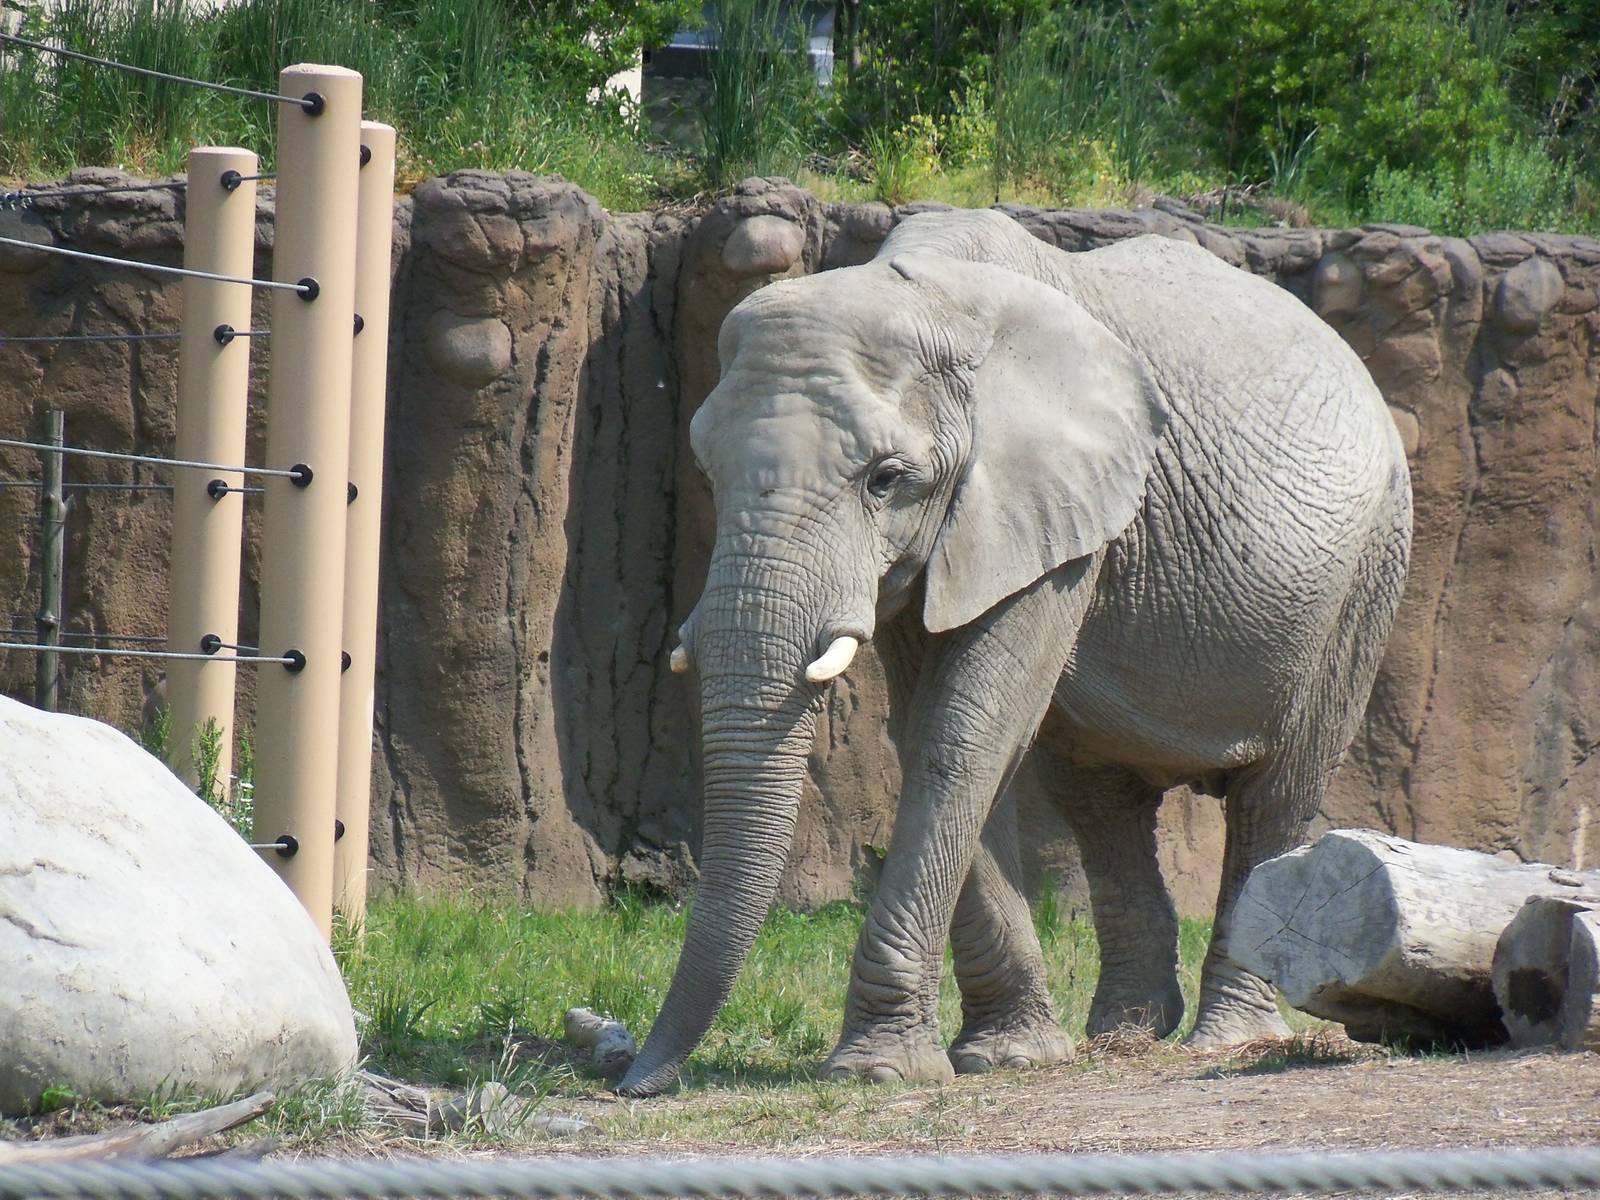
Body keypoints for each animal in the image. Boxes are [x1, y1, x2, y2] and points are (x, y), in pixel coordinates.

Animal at [616, 207, 1412, 1098]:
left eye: (886, 478)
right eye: (707, 471)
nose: (635, 1079)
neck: (931, 295)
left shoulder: (1050, 518)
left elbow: (966, 731)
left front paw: (879, 1070)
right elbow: (935, 728)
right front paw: (1008, 1057)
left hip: (1363, 578)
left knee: (1275, 794)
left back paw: (1224, 1039)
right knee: (1101, 798)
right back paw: (1125, 1034)